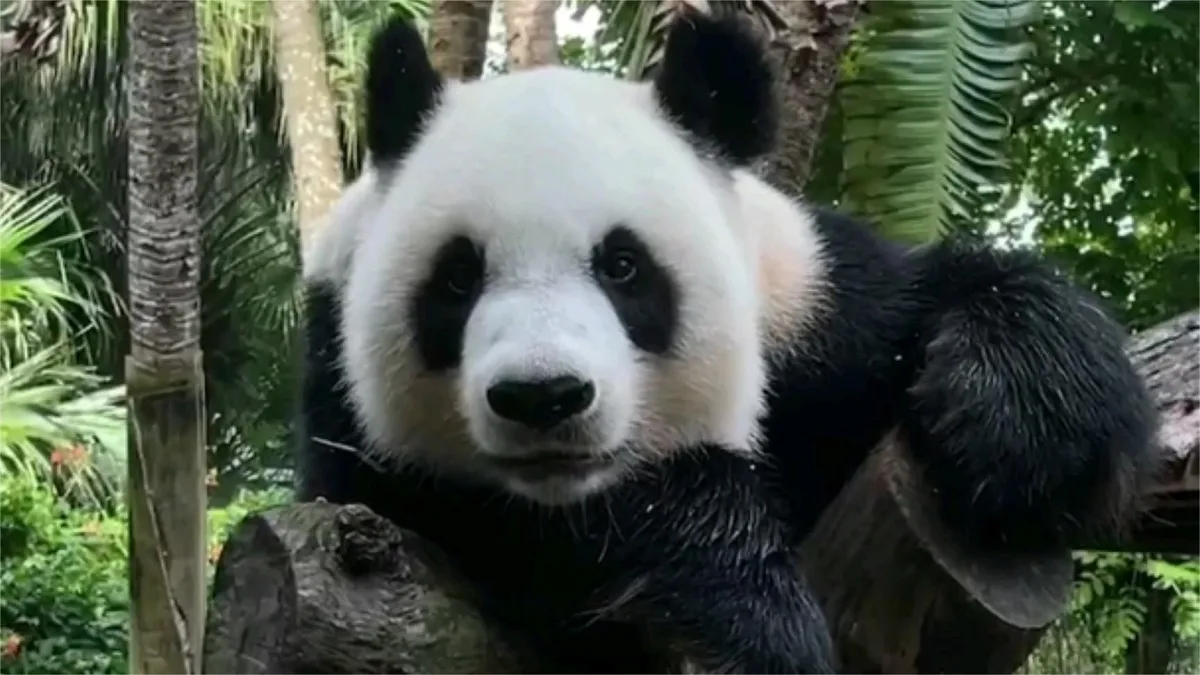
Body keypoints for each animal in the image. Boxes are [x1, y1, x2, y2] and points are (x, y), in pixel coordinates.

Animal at [296, 8, 1159, 675]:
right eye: (457, 278)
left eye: (623, 265)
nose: (543, 397)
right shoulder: (363, 431)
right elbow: (503, 520)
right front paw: (751, 613)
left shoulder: (810, 311)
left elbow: (926, 305)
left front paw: (1009, 423)